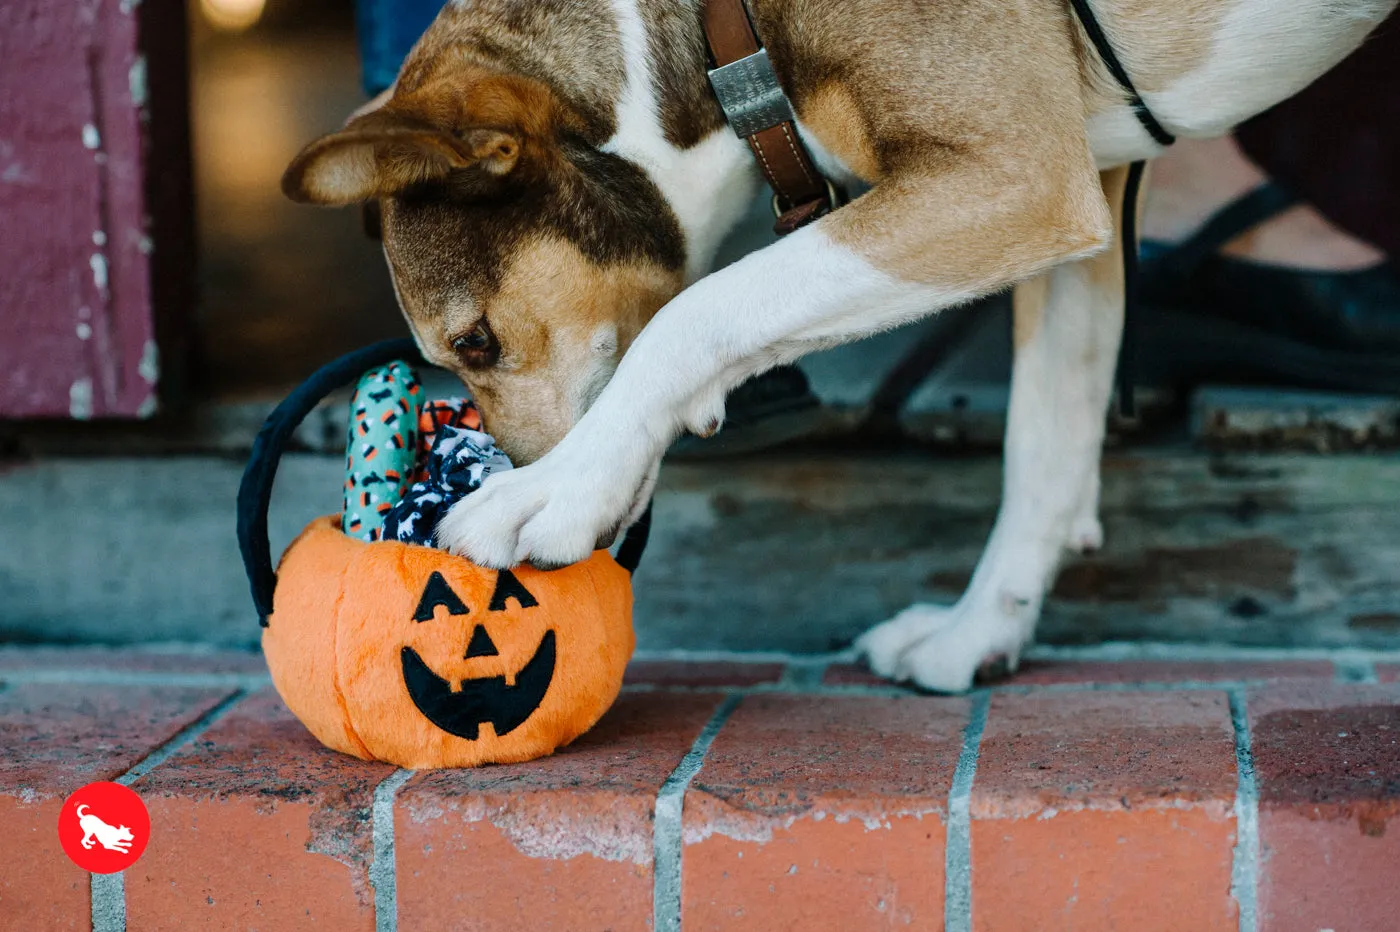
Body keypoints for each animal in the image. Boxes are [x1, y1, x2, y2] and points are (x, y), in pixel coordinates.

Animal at [278, 0, 1394, 688]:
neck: (718, 29)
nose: (498, 464)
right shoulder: (1078, 191)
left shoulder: (1016, 177)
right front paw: (978, 632)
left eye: (472, 341)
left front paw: (550, 492)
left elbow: (706, 309)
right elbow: (1043, 441)